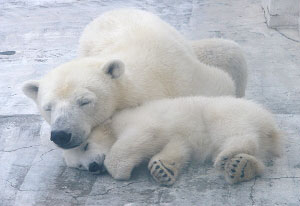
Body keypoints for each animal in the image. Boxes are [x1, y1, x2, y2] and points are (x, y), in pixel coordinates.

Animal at [22, 8, 246, 171]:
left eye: (84, 101)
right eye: (48, 107)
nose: (61, 134)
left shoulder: (182, 79)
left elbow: (219, 83)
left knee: (231, 53)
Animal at [67, 96, 282, 185]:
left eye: (86, 145)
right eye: (79, 166)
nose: (93, 166)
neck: (113, 123)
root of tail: (268, 121)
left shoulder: (134, 121)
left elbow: (146, 131)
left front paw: (120, 170)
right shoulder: (178, 136)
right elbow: (178, 147)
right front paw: (162, 170)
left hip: (227, 111)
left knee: (230, 127)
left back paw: (227, 156)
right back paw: (242, 167)